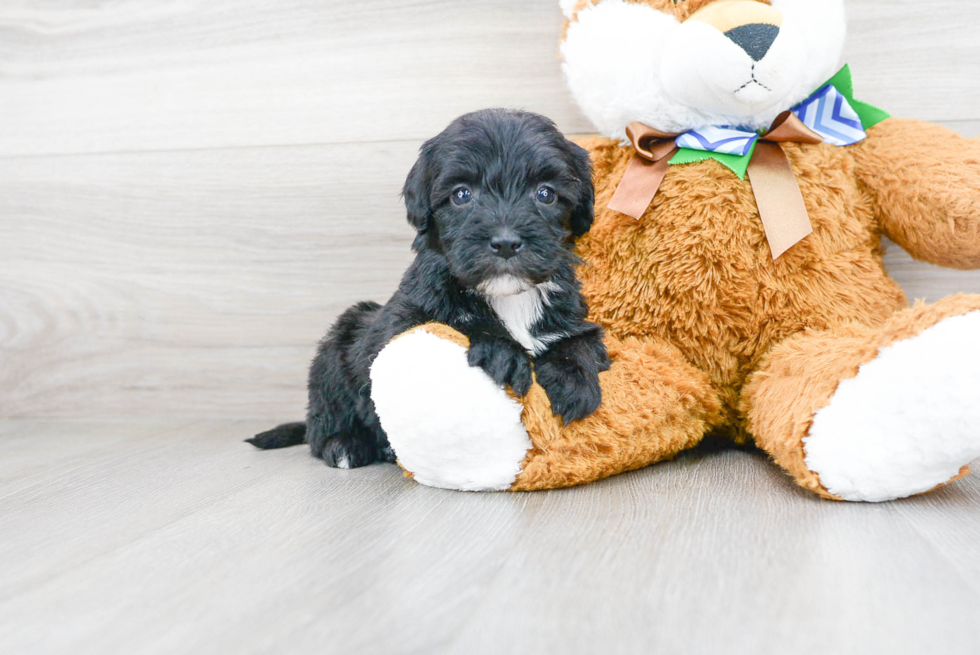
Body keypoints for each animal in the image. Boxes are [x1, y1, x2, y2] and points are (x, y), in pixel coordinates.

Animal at [247, 111, 604, 472]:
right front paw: (500, 351)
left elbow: (581, 342)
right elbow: (456, 324)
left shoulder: (571, 318)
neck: (508, 298)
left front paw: (573, 379)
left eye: (545, 194)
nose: (505, 242)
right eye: (461, 195)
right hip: (338, 345)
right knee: (322, 420)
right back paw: (344, 444)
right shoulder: (400, 324)